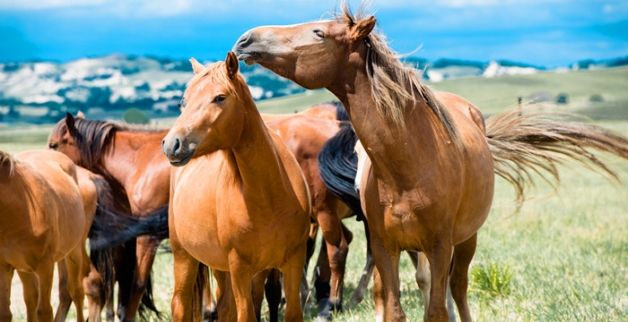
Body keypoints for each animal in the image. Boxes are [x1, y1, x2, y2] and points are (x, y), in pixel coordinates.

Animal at [0, 150, 87, 322]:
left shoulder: (45, 265)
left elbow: (45, 312)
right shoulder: (4, 267)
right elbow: (5, 313)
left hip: (74, 252)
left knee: (77, 292)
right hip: (23, 268)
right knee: (31, 299)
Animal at [161, 51, 310, 320]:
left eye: (220, 97)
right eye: (183, 102)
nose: (172, 144)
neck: (270, 197)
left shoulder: (294, 261)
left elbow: (292, 310)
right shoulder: (240, 268)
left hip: (221, 267)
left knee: (225, 307)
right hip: (184, 256)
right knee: (180, 304)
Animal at [233, 5, 628, 322]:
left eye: (318, 33)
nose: (245, 39)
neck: (409, 164)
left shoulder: (440, 246)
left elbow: (436, 309)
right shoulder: (386, 246)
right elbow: (394, 307)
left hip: (466, 241)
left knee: (458, 290)